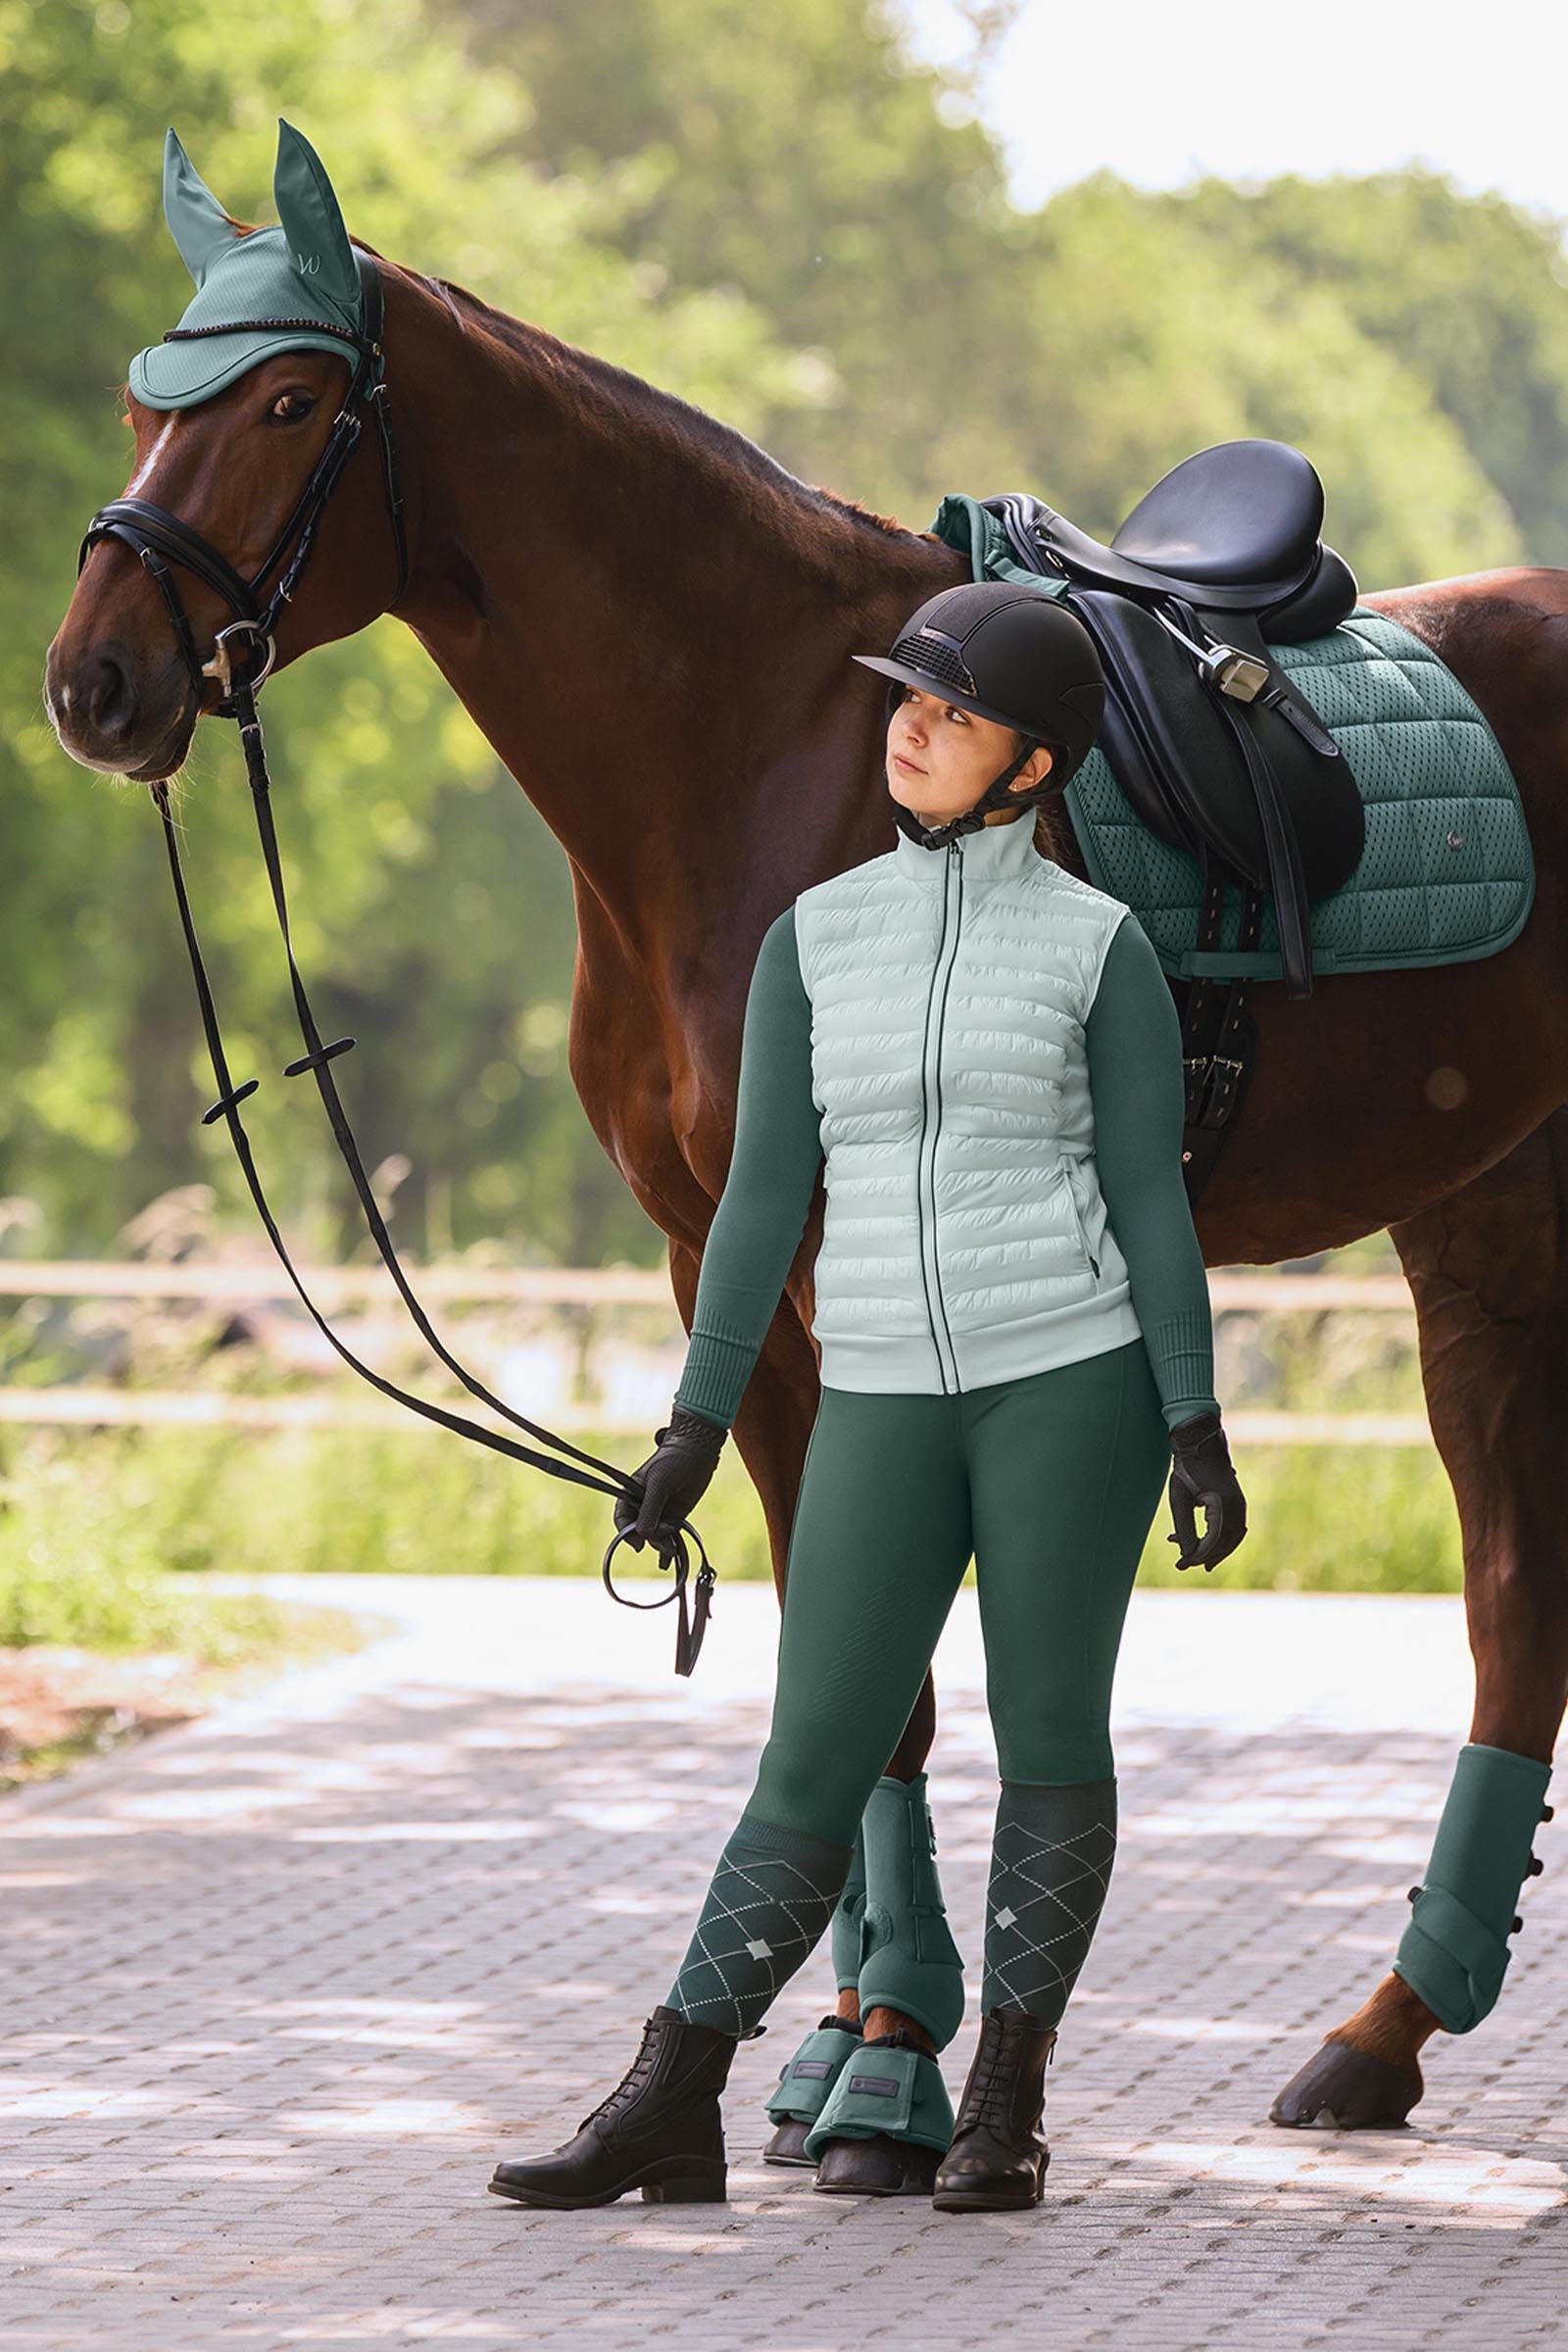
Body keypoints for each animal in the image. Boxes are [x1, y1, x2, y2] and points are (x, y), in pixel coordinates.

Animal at [44, 194, 1568, 2132]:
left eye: (295, 400)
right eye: (142, 398)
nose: (92, 683)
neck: (770, 740)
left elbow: (889, 1668)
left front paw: (890, 2070)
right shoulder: (728, 1265)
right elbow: (842, 1672)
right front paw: (850, 2040)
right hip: (1489, 1218)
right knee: (1520, 1608)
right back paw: (1380, 2037)